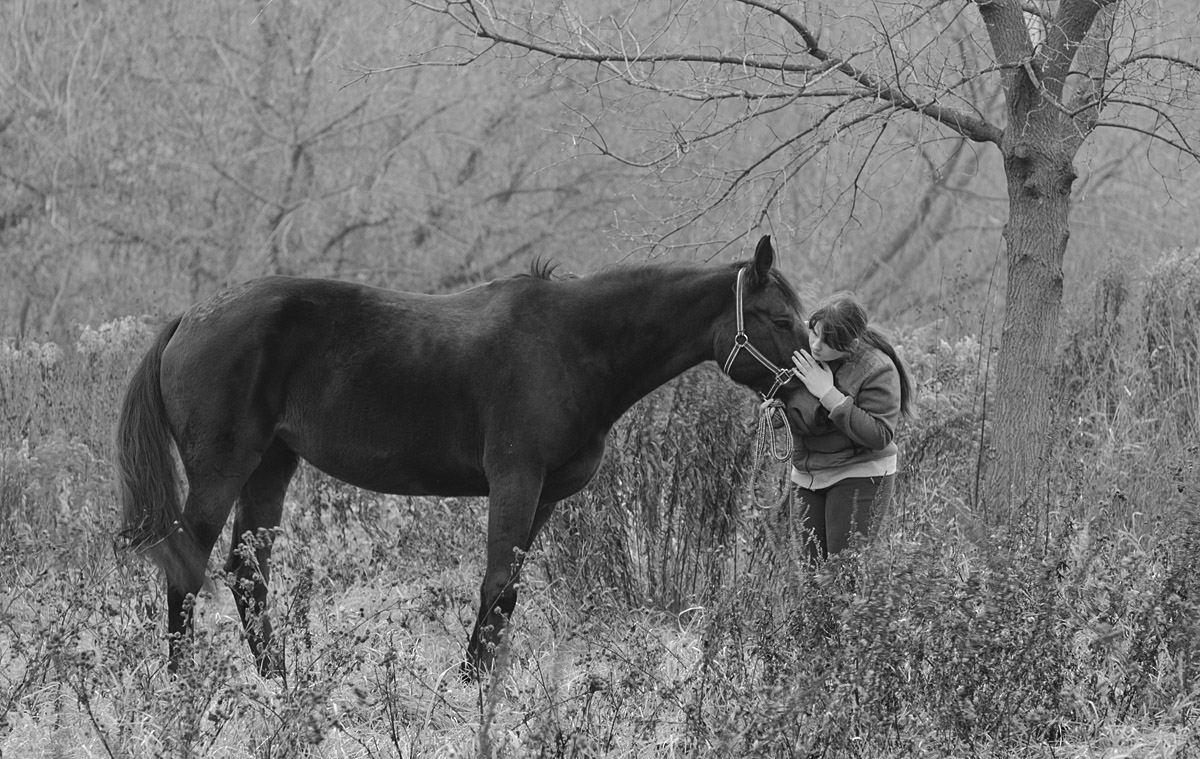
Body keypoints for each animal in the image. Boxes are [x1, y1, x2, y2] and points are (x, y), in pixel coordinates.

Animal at [117, 232, 806, 677]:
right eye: (777, 319)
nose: (808, 403)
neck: (571, 344)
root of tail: (190, 318)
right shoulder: (515, 480)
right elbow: (497, 585)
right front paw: (470, 687)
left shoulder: (544, 496)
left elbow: (509, 592)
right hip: (223, 469)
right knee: (188, 568)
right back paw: (184, 687)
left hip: (271, 467)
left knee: (247, 574)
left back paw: (282, 682)